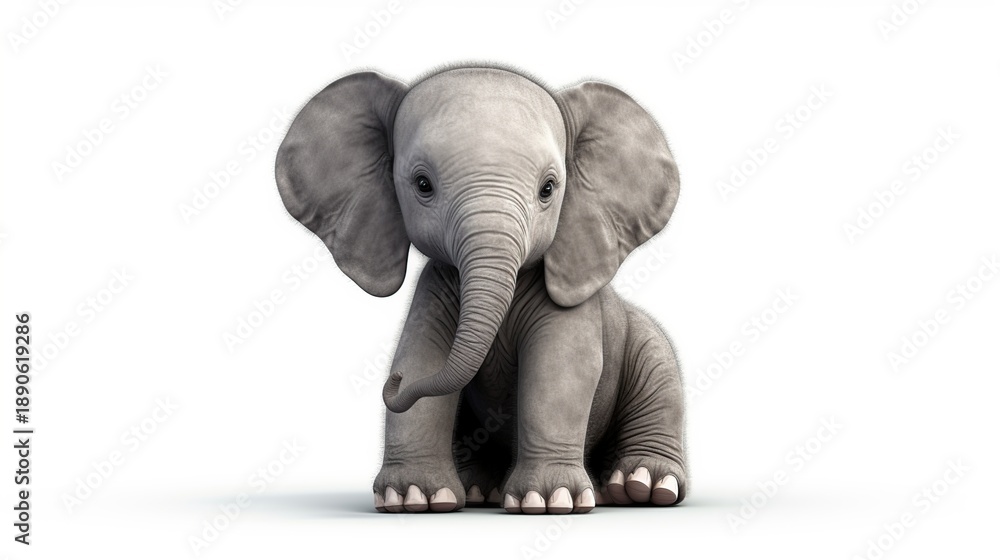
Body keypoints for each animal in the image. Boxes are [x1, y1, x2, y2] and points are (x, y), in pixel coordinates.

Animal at [275, 65, 685, 514]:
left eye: (548, 189)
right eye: (422, 185)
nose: (393, 382)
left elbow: (560, 371)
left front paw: (548, 502)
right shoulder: (437, 287)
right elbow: (421, 355)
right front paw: (413, 499)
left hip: (650, 350)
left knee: (658, 378)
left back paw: (641, 487)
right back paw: (477, 489)